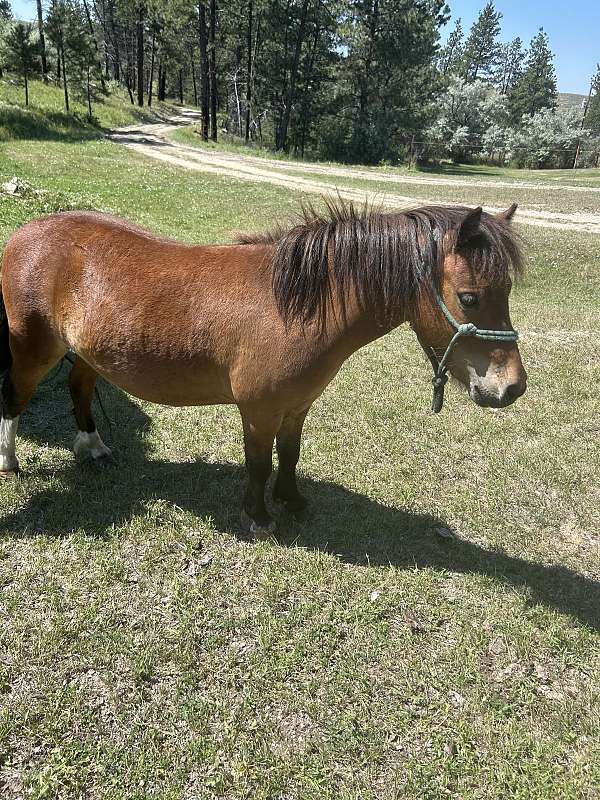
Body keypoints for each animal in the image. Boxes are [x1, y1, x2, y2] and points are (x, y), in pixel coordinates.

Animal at [0, 200, 527, 537]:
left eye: (506, 293)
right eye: (469, 298)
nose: (511, 388)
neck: (296, 306)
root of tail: (25, 233)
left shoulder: (296, 406)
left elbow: (289, 455)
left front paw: (293, 501)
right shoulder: (259, 410)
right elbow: (259, 461)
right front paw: (257, 516)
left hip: (89, 352)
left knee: (78, 386)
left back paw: (92, 447)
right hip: (31, 347)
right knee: (15, 397)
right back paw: (10, 462)